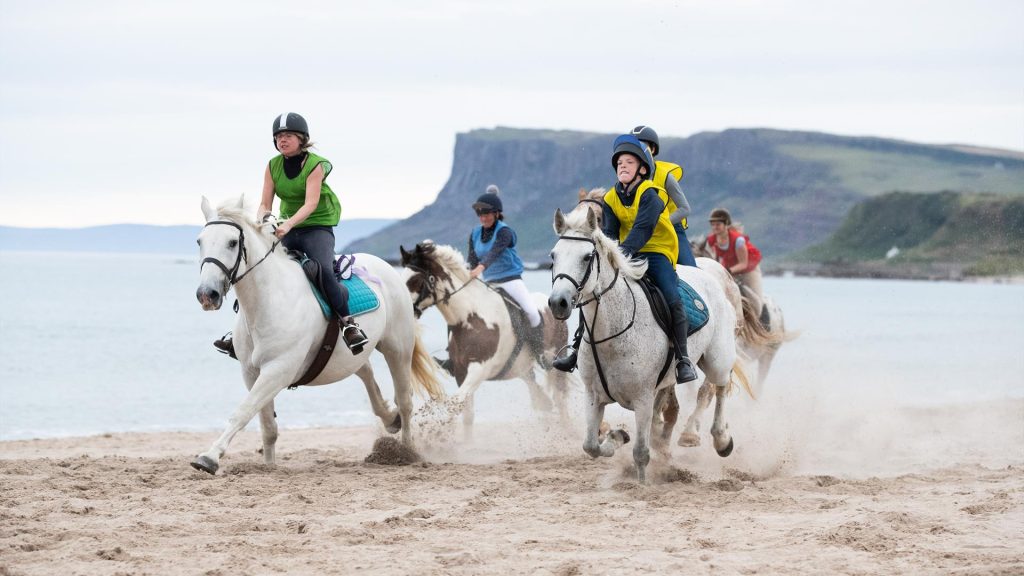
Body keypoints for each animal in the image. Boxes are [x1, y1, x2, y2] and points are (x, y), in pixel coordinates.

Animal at [193, 194, 442, 473]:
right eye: (200, 241)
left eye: (233, 242)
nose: (207, 294)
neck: (268, 300)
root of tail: (386, 267)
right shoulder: (251, 372)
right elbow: (267, 426)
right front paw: (269, 466)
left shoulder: (278, 370)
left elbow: (243, 412)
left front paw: (209, 457)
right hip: (351, 355)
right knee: (366, 371)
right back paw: (390, 418)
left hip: (397, 348)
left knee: (405, 400)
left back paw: (406, 451)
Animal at [399, 239, 577, 432]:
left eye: (415, 280)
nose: (405, 308)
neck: (469, 317)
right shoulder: (461, 372)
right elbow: (466, 413)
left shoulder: (479, 369)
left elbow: (455, 404)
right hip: (520, 366)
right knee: (536, 390)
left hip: (555, 358)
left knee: (560, 396)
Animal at [544, 203, 745, 481]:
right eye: (554, 256)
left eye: (587, 257)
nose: (558, 303)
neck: (608, 335)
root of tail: (714, 275)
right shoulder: (594, 396)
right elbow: (591, 446)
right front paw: (618, 436)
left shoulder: (642, 400)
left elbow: (640, 452)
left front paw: (640, 483)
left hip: (717, 359)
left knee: (719, 387)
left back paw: (720, 439)